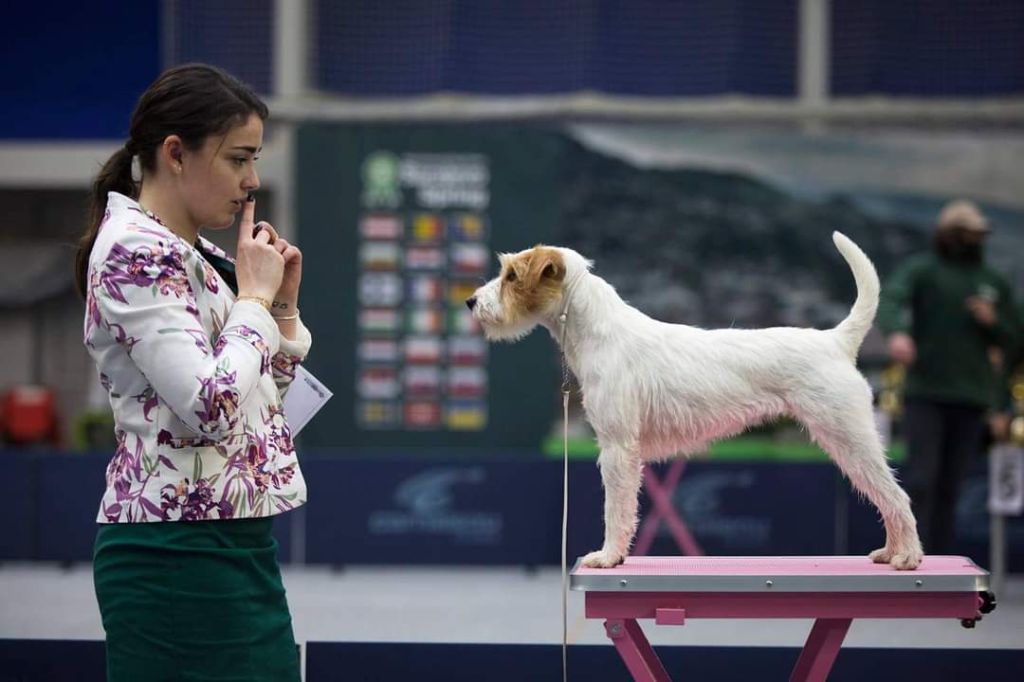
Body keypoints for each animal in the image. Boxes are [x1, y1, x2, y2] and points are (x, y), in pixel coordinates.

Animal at [468, 233, 925, 569]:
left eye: (511, 275)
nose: (472, 301)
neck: (599, 330)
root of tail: (835, 341)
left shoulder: (617, 449)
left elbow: (616, 509)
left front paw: (609, 556)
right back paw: (891, 552)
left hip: (849, 437)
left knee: (896, 496)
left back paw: (907, 556)